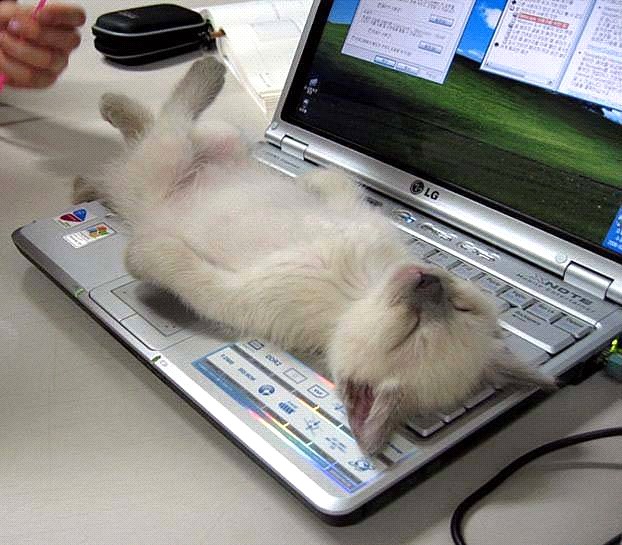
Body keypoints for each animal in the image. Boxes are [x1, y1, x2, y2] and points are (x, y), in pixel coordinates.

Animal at [79, 57, 556, 454]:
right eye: (462, 305)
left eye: (411, 332)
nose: (429, 282)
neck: (359, 289)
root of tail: (127, 192)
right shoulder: (354, 212)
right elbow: (337, 179)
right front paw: (307, 178)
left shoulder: (238, 294)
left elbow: (168, 263)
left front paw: (143, 250)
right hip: (218, 144)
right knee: (168, 124)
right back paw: (146, 98)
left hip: (160, 170)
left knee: (164, 132)